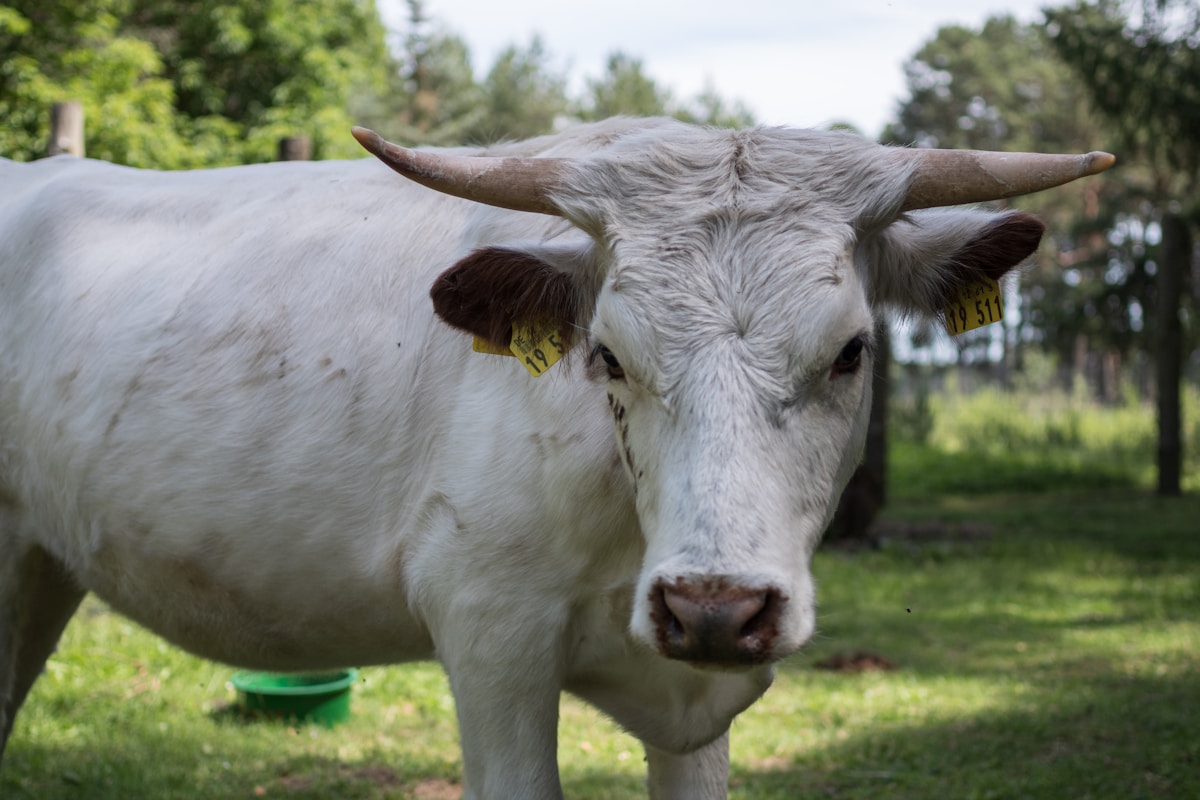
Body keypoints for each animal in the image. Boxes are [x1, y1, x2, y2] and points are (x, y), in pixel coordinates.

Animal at [0, 117, 1112, 798]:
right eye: (606, 354)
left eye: (851, 350)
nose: (714, 605)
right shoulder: (491, 629)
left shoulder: (699, 704)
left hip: (41, 568)